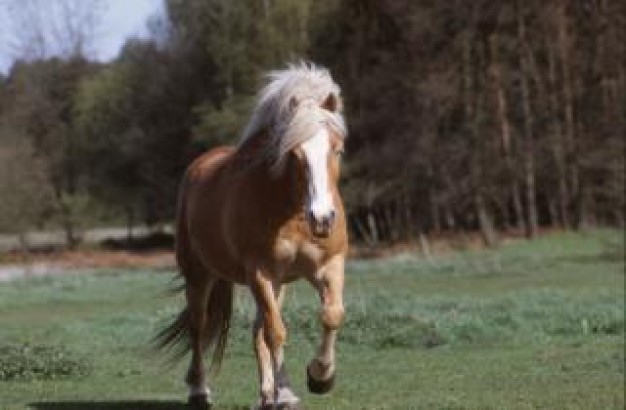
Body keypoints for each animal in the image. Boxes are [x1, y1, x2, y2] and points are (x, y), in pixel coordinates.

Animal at [155, 61, 348, 410]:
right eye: (295, 154)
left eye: (337, 150)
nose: (322, 219)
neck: (290, 211)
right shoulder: (260, 272)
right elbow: (276, 333)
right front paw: (288, 391)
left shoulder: (329, 265)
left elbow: (331, 315)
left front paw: (320, 376)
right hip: (200, 275)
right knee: (199, 326)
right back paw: (200, 390)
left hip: (277, 284)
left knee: (257, 331)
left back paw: (267, 395)